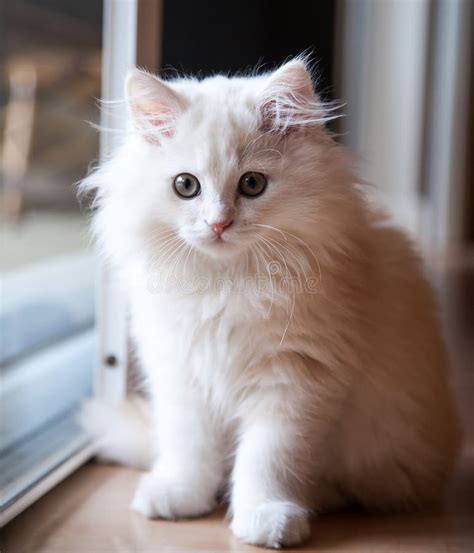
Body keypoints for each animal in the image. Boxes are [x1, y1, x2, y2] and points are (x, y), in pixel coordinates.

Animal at [80, 58, 460, 544]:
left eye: (252, 184)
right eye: (186, 186)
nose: (219, 223)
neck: (225, 285)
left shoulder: (294, 382)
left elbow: (268, 459)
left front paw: (266, 518)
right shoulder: (181, 374)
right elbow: (189, 447)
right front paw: (182, 496)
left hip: (388, 455)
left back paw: (315, 498)